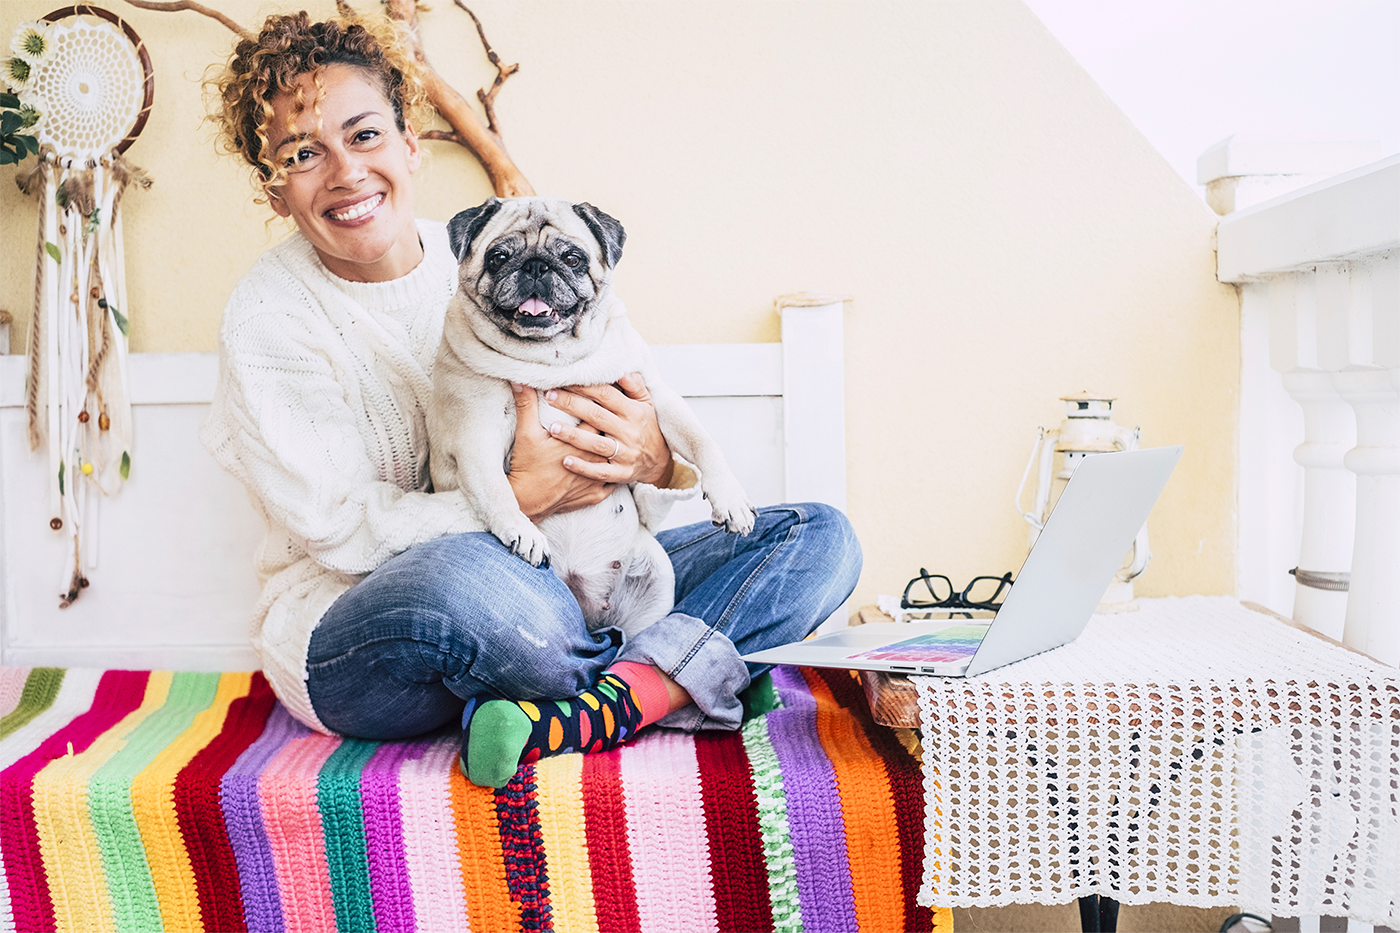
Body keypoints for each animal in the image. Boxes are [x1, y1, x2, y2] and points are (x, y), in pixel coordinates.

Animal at [425, 193, 756, 636]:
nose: (535, 265)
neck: (549, 359)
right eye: (497, 258)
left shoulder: (656, 397)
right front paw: (520, 530)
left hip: (655, 580)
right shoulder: (476, 436)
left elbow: (703, 442)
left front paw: (731, 499)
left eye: (573, 258)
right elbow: (498, 491)